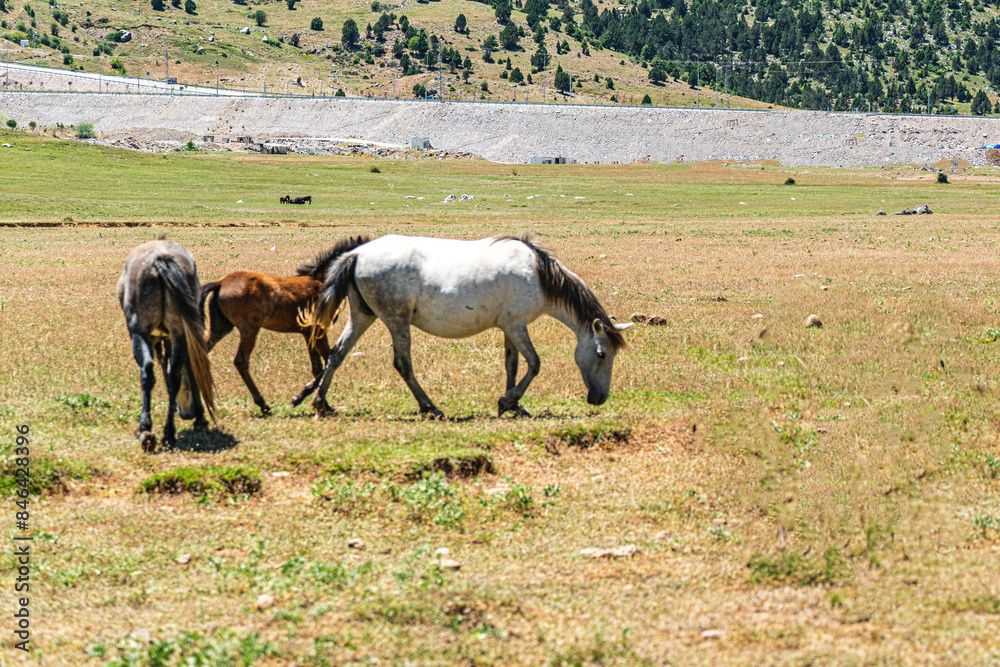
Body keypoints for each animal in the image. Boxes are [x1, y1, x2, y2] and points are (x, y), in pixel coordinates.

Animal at [117, 239, 216, 451]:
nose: (188, 413)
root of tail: (159, 258)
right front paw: (200, 419)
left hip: (139, 333)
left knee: (148, 371)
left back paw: (146, 429)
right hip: (178, 333)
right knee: (173, 376)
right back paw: (168, 433)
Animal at [200, 236, 370, 416]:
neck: (322, 282)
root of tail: (220, 283)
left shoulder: (308, 333)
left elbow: (317, 366)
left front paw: (322, 403)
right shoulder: (318, 330)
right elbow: (328, 359)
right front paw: (304, 399)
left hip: (220, 328)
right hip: (249, 330)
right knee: (241, 361)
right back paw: (263, 404)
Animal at [304, 234, 631, 419]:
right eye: (601, 354)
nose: (600, 398)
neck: (539, 275)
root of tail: (356, 253)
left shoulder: (509, 328)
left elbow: (512, 365)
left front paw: (512, 405)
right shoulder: (517, 326)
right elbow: (535, 364)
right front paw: (509, 401)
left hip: (362, 316)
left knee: (337, 353)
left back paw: (321, 402)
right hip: (397, 321)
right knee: (402, 363)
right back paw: (430, 407)